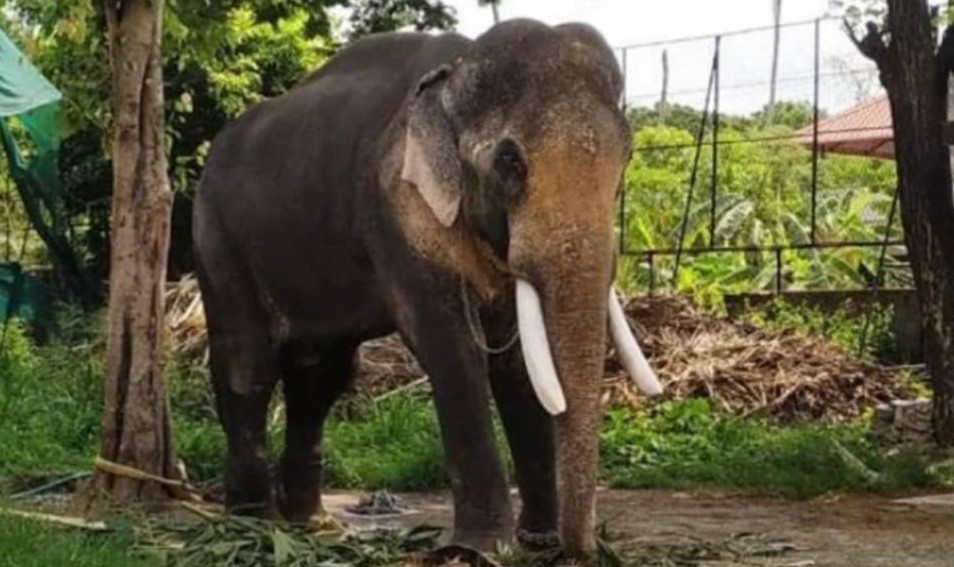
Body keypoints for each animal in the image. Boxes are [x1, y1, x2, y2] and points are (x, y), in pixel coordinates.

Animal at [192, 18, 662, 561]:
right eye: (509, 161)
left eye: (627, 155)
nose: (579, 551)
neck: (456, 73)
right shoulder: (398, 208)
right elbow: (449, 348)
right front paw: (478, 551)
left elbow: (517, 363)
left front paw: (536, 543)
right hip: (217, 237)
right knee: (249, 365)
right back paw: (253, 526)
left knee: (321, 375)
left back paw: (312, 526)